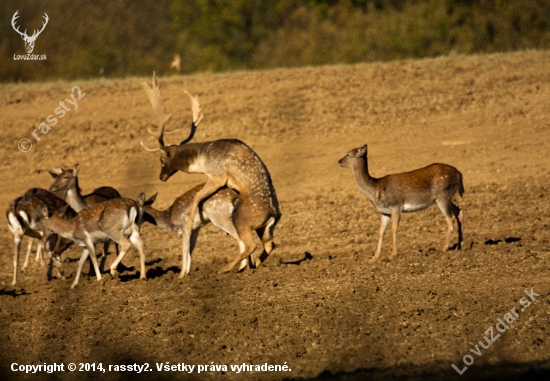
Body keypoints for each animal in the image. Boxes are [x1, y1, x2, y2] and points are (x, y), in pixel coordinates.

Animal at [140, 72, 282, 274]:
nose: (161, 177)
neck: (203, 158)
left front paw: (189, 223)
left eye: (161, 160)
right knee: (270, 244)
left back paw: (225, 268)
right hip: (265, 229)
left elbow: (197, 197)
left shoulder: (217, 175)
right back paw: (253, 265)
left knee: (250, 244)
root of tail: (273, 214)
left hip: (241, 219)